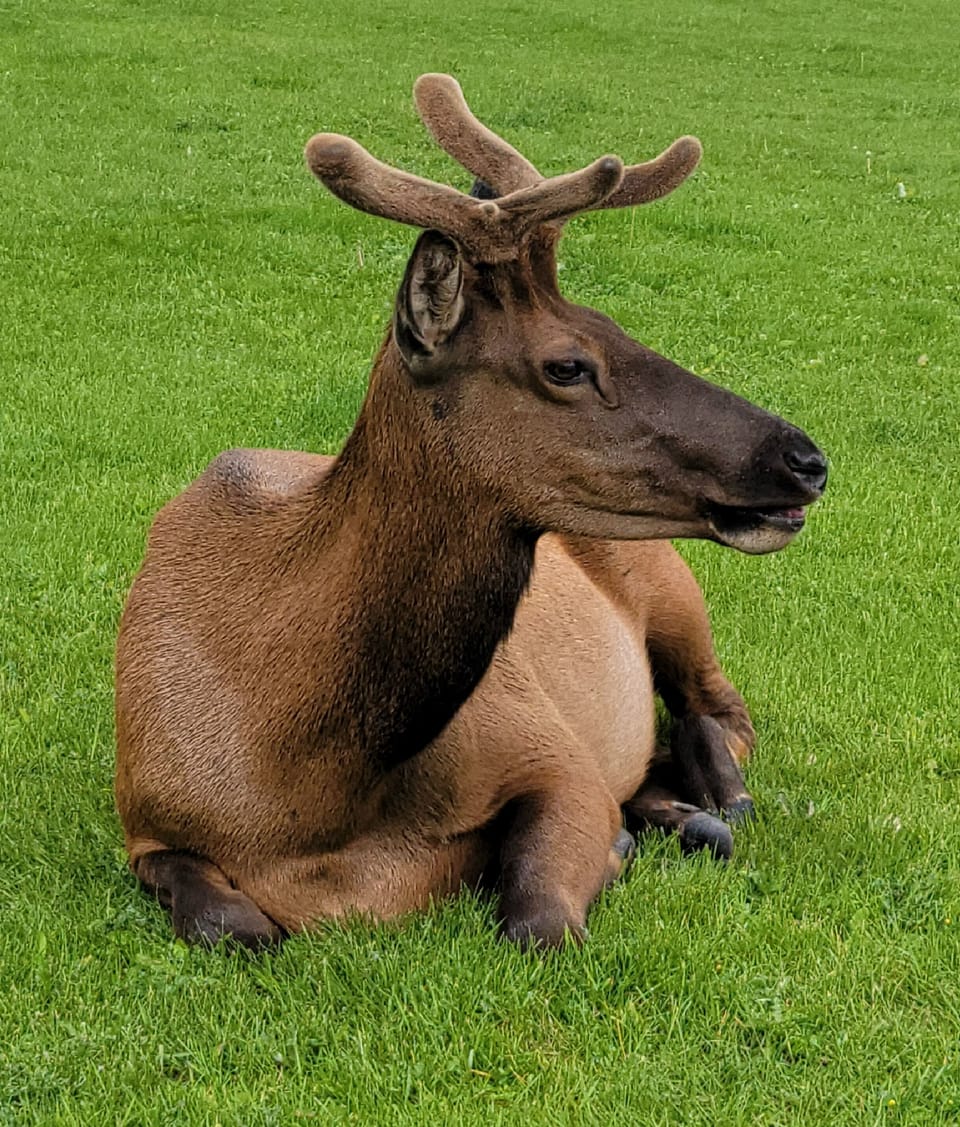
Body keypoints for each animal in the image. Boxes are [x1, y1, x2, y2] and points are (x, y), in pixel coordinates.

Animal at [115, 74, 827, 950]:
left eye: (617, 324)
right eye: (567, 364)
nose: (805, 459)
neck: (303, 796)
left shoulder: (550, 750)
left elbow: (538, 919)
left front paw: (618, 846)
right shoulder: (145, 817)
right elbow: (232, 923)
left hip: (673, 590)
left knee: (719, 713)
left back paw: (710, 803)